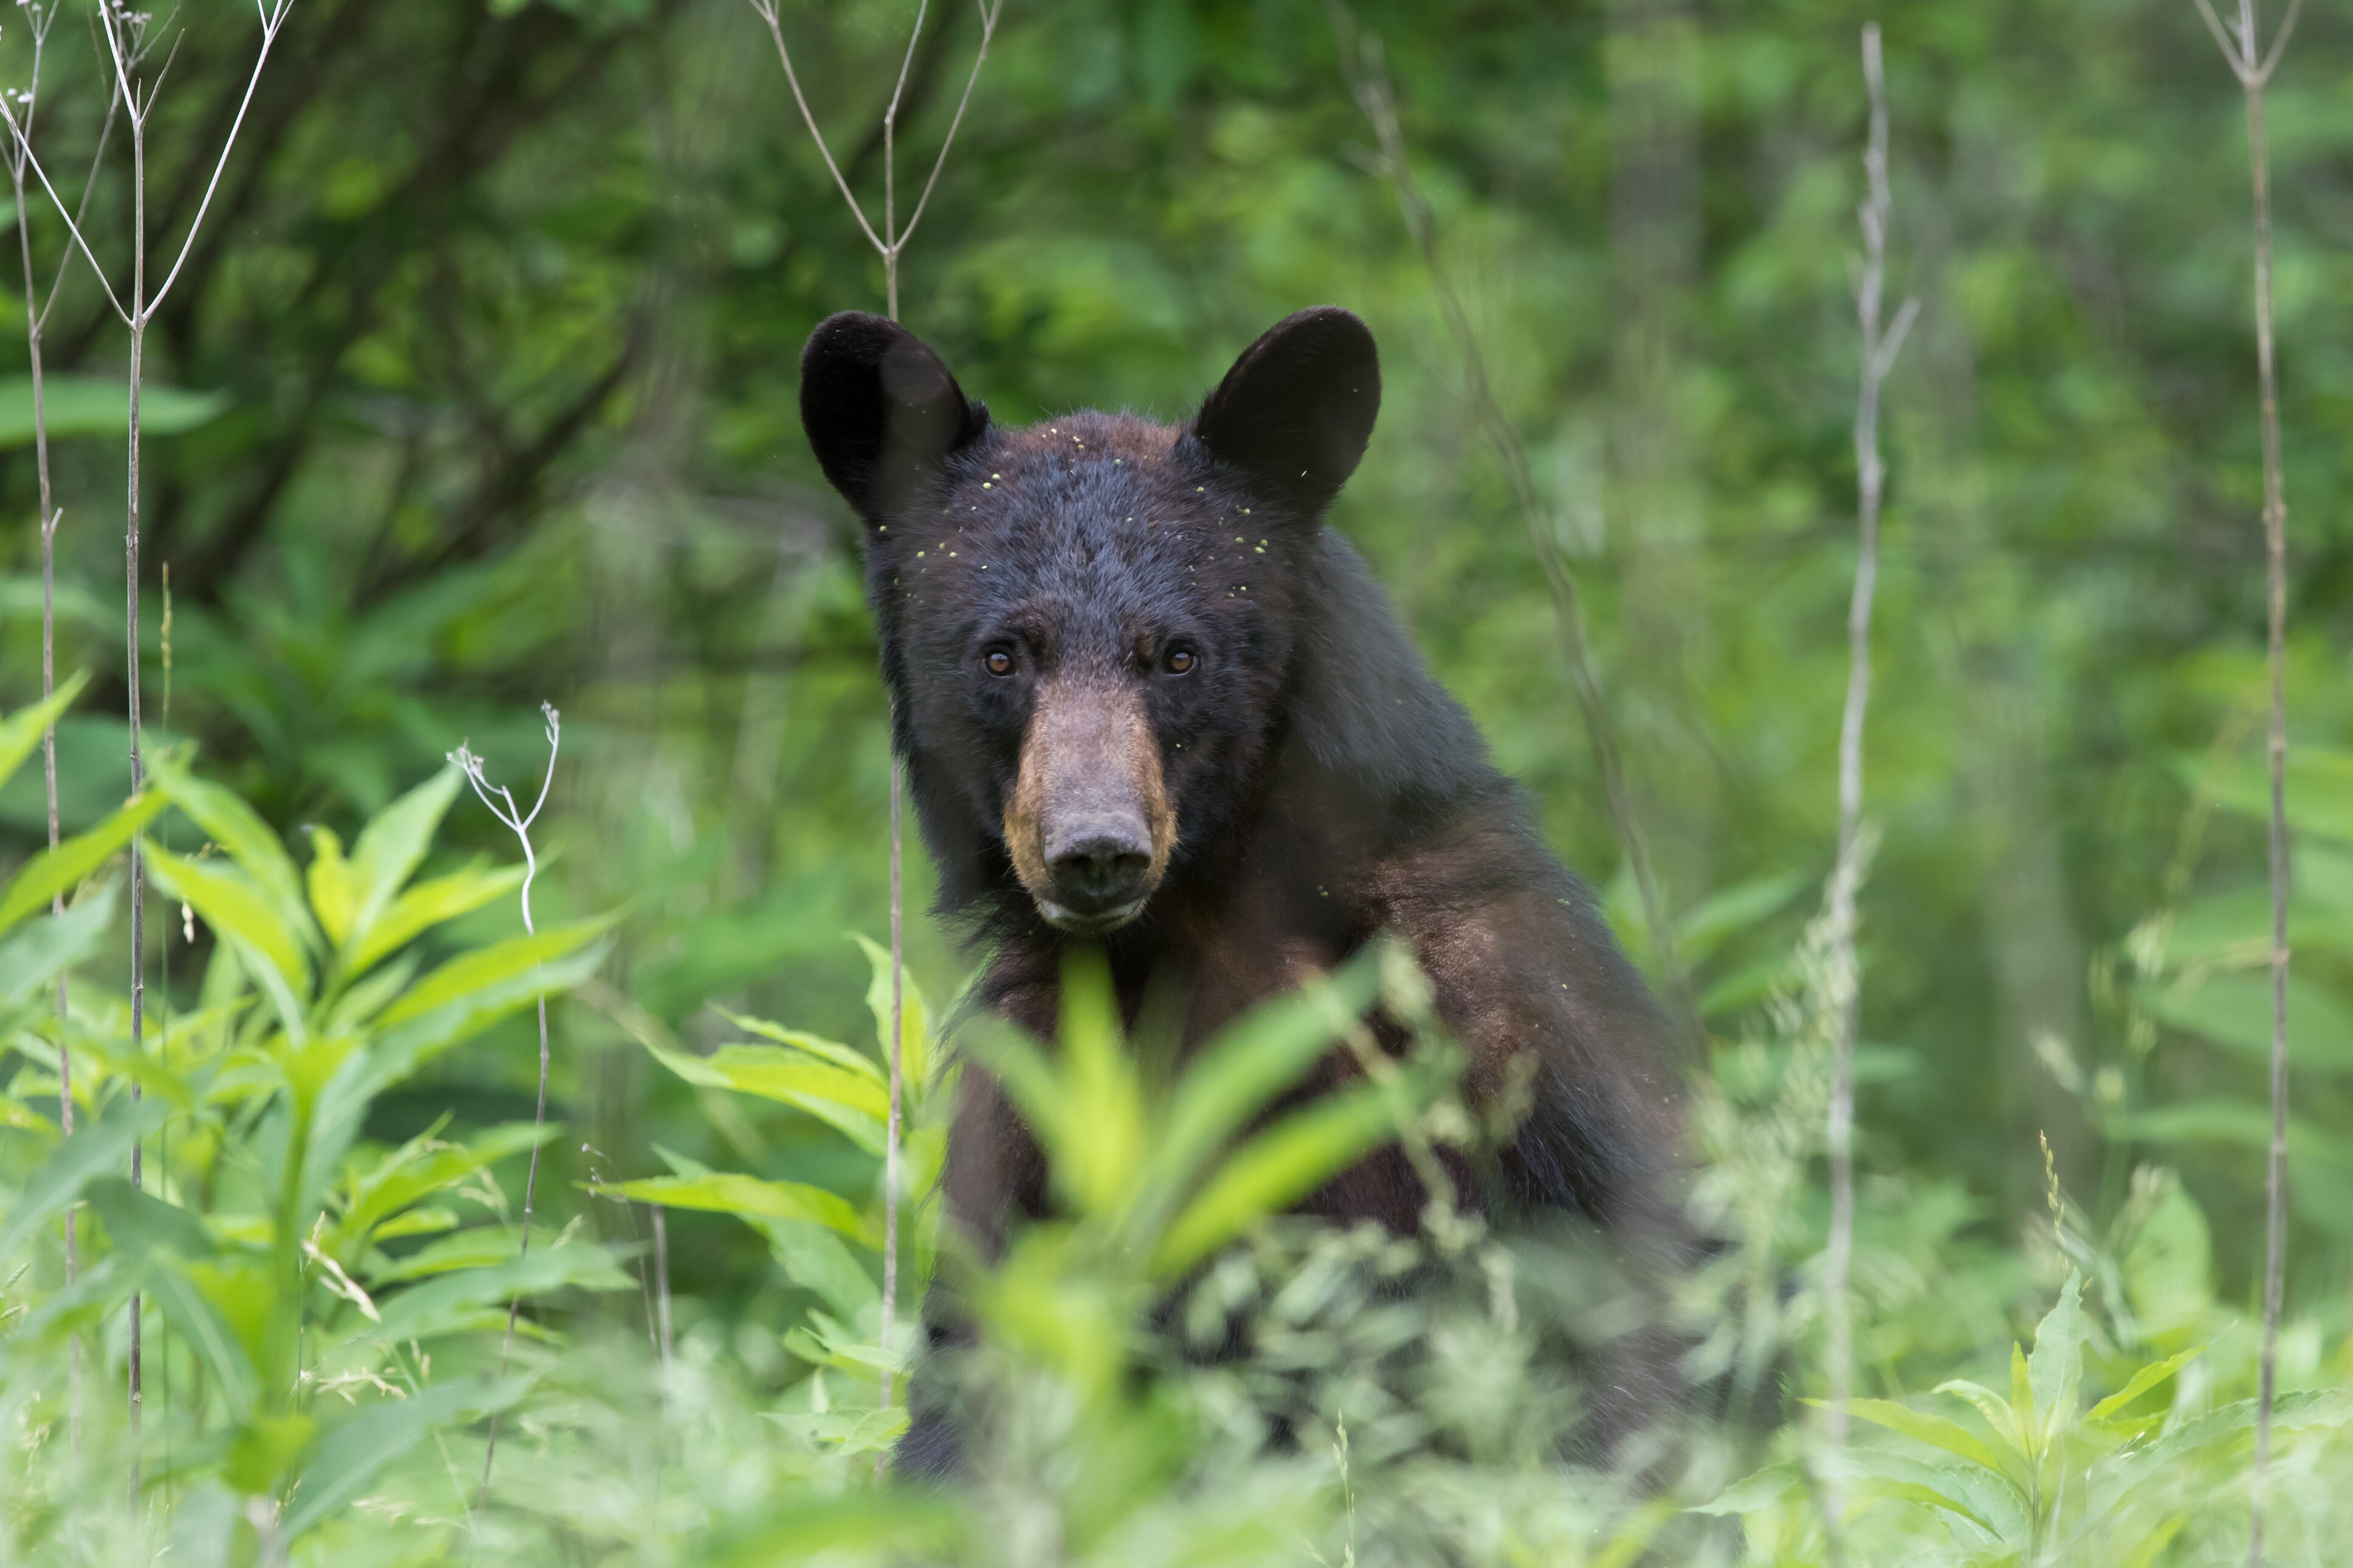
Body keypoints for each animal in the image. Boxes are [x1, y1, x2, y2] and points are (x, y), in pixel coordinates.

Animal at [800, 301, 1685, 1469]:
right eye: (1001, 656)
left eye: (1179, 654)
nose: (1095, 848)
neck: (1205, 919)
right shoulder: (1037, 1091)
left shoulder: (1518, 1033)